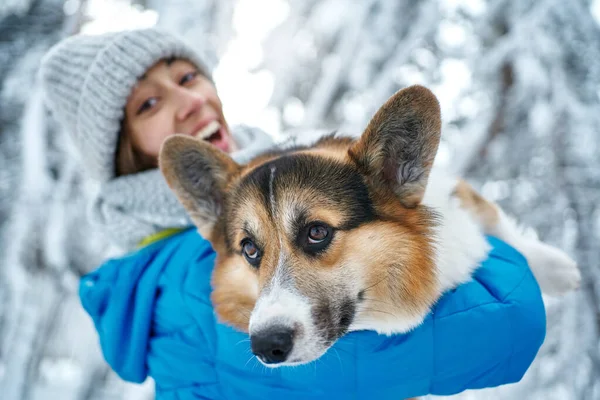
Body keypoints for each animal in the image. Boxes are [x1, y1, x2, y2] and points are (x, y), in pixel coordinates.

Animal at [157, 84, 580, 368]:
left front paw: (556, 269)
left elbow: (496, 224)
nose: (266, 346)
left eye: (317, 232)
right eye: (249, 249)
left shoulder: (455, 192)